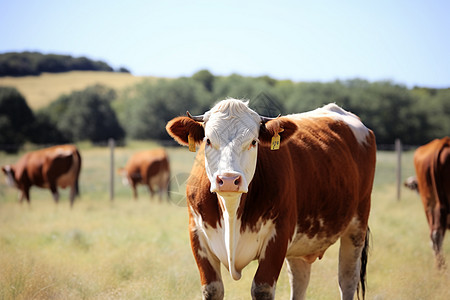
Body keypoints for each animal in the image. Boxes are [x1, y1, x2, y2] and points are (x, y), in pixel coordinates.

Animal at [165, 99, 376, 298]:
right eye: (208, 140)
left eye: (254, 142)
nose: (228, 180)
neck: (232, 213)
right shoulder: (197, 234)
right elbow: (212, 289)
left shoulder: (278, 237)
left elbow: (262, 289)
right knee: (300, 280)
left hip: (357, 227)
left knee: (347, 279)